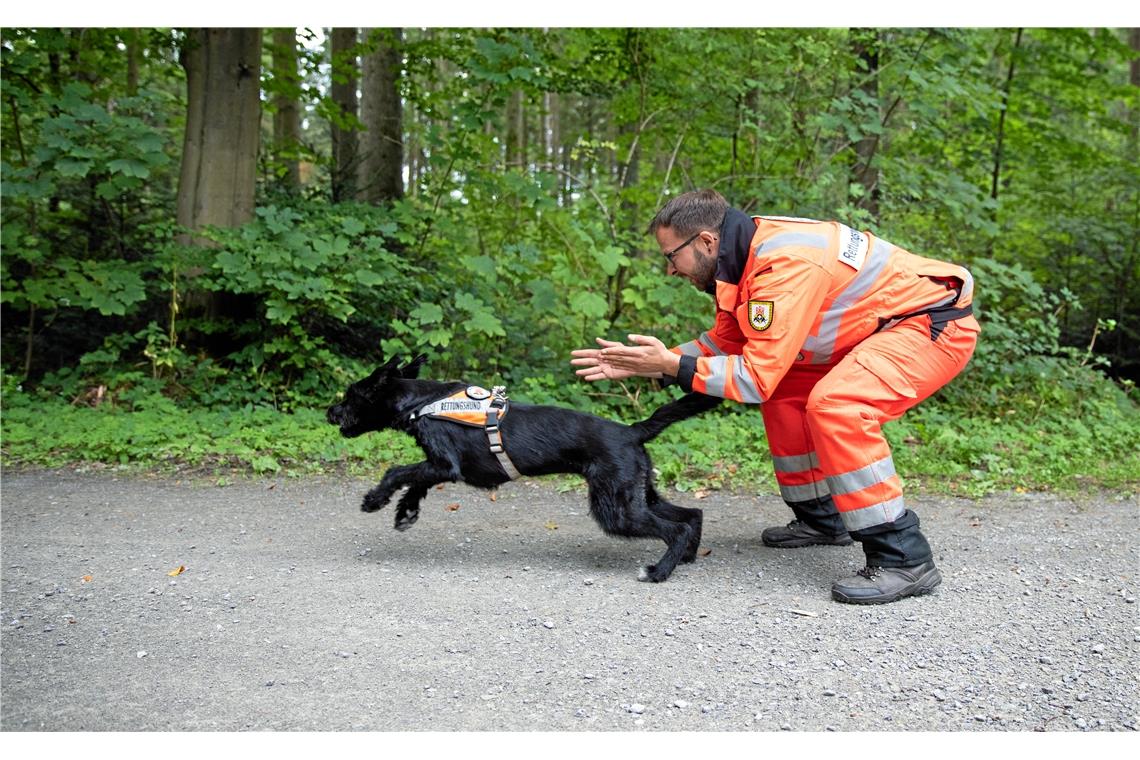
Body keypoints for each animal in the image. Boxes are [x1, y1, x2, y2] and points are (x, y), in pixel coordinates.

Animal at [330, 357, 720, 583]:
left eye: (351, 395)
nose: (330, 412)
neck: (422, 403)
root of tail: (631, 431)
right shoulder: (438, 467)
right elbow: (416, 482)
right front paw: (405, 512)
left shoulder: (444, 463)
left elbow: (398, 471)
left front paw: (374, 499)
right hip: (637, 492)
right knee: (692, 515)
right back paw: (685, 559)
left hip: (616, 507)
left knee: (676, 528)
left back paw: (658, 572)